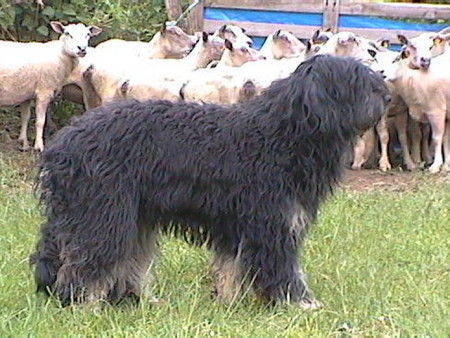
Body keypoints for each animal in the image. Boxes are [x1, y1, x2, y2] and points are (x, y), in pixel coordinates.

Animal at [0, 21, 101, 151]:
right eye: (67, 33)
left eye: (87, 34)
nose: (82, 49)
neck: (60, 56)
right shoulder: (44, 92)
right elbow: (40, 121)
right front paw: (39, 146)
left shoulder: (26, 94)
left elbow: (25, 117)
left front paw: (23, 142)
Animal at [30, 54, 390, 308]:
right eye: (355, 80)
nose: (386, 95)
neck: (284, 134)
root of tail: (64, 143)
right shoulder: (273, 223)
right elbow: (283, 267)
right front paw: (301, 303)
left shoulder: (238, 224)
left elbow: (230, 267)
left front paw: (228, 301)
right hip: (103, 213)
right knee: (86, 260)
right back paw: (83, 304)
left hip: (133, 218)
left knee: (126, 260)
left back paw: (134, 299)